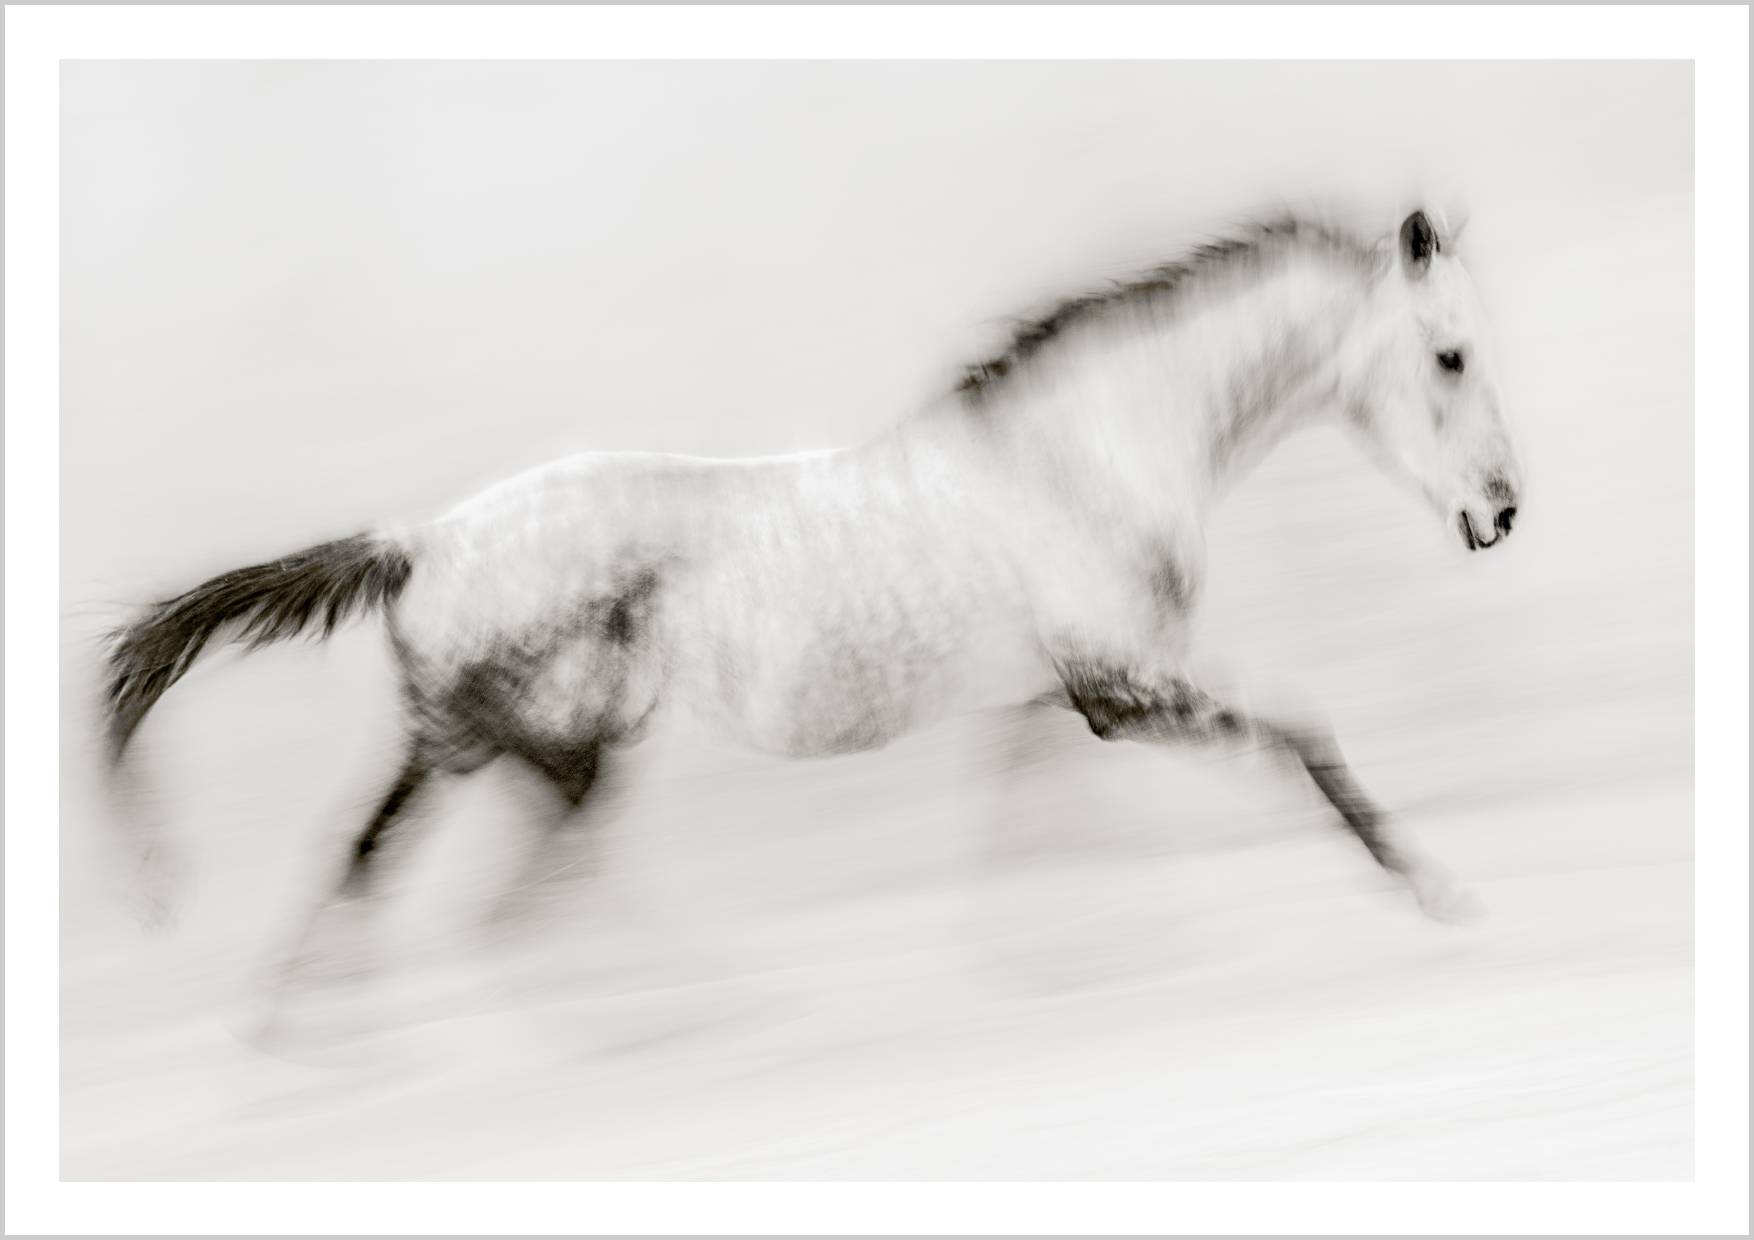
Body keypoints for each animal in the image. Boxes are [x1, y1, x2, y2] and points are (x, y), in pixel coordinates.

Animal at [102, 207, 1521, 1002]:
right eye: (1449, 354)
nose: (1500, 511)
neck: (1083, 456)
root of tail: (419, 542)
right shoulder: (1124, 689)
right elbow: (1304, 737)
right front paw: (1437, 889)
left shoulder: (1048, 702)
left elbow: (1026, 828)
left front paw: (1050, 968)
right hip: (542, 754)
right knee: (475, 907)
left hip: (490, 756)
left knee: (372, 877)